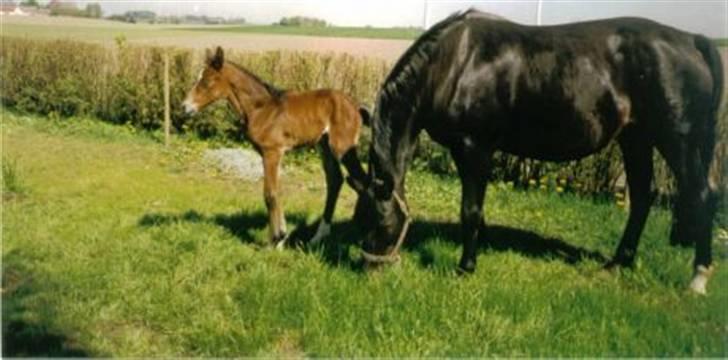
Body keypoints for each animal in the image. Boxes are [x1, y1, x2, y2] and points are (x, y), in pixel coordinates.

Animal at [182, 46, 364, 248]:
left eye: (206, 82)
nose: (185, 107)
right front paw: (282, 237)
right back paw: (319, 236)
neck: (261, 109)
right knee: (335, 181)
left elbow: (269, 194)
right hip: (324, 147)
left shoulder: (271, 152)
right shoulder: (273, 154)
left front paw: (274, 240)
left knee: (361, 180)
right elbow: (277, 191)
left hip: (342, 148)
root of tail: (355, 105)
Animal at [352, 9, 724, 294]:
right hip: (636, 138)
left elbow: (470, 209)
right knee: (643, 198)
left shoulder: (475, 147)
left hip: (677, 139)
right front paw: (482, 247)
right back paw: (618, 262)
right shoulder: (465, 150)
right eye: (359, 219)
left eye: (379, 221)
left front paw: (466, 266)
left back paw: (698, 278)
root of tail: (692, 40)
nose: (372, 271)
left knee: (702, 196)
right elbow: (476, 209)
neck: (455, 64)